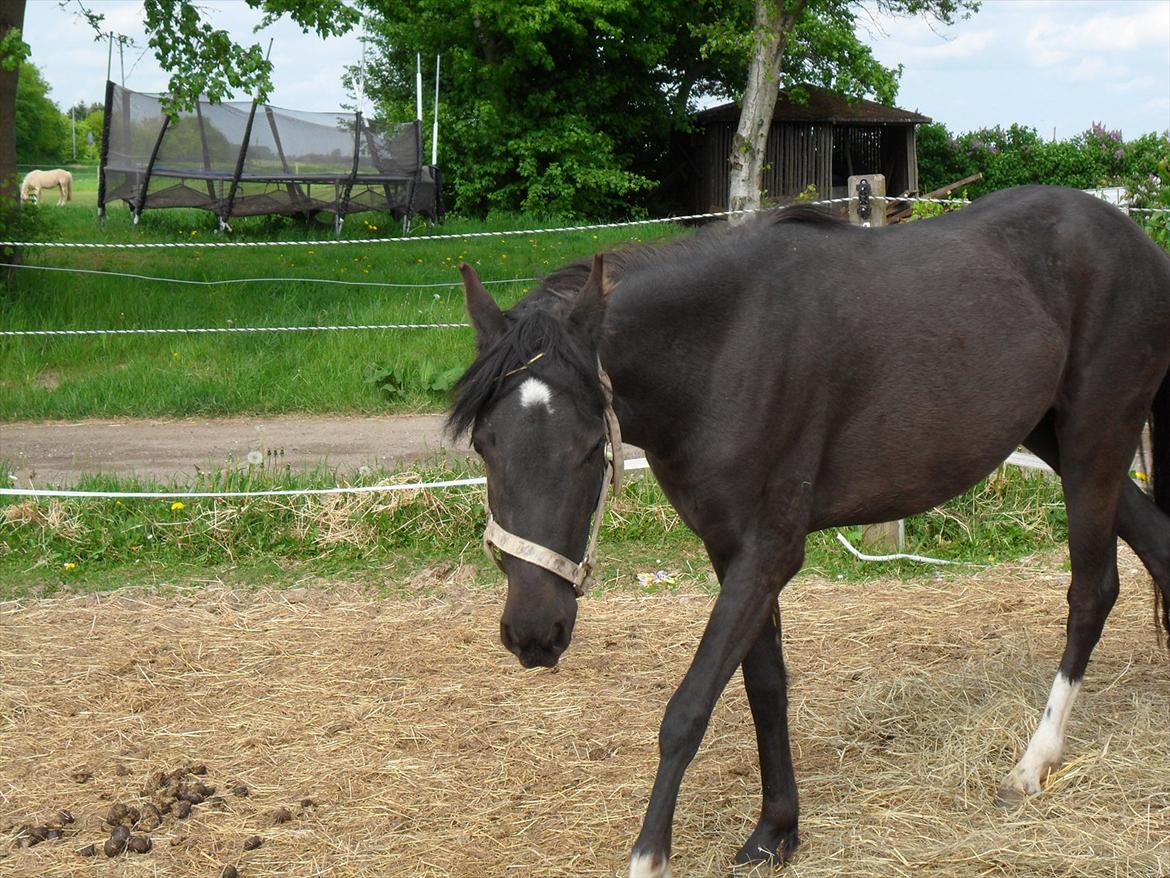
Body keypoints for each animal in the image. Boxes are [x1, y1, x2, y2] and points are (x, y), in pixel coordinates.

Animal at [444, 183, 1170, 875]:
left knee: (1092, 590)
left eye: (591, 447)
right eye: (483, 444)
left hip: (1094, 439)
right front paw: (775, 832)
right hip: (1058, 437)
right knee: (1156, 547)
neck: (723, 348)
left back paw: (1031, 764)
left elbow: (690, 707)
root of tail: (1135, 239)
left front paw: (651, 856)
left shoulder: (769, 552)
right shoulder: (730, 549)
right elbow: (764, 687)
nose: (534, 632)